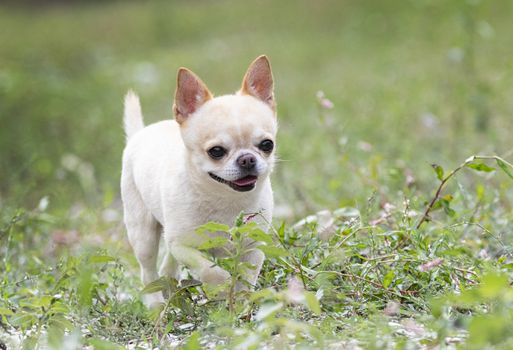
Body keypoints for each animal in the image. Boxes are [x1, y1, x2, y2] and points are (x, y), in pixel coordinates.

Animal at [121, 56, 276, 304]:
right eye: (216, 151)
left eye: (267, 145)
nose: (247, 159)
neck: (224, 199)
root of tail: (140, 133)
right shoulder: (183, 245)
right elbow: (210, 270)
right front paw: (222, 289)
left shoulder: (253, 246)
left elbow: (246, 279)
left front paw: (241, 303)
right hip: (142, 233)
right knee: (148, 272)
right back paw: (156, 304)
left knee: (167, 267)